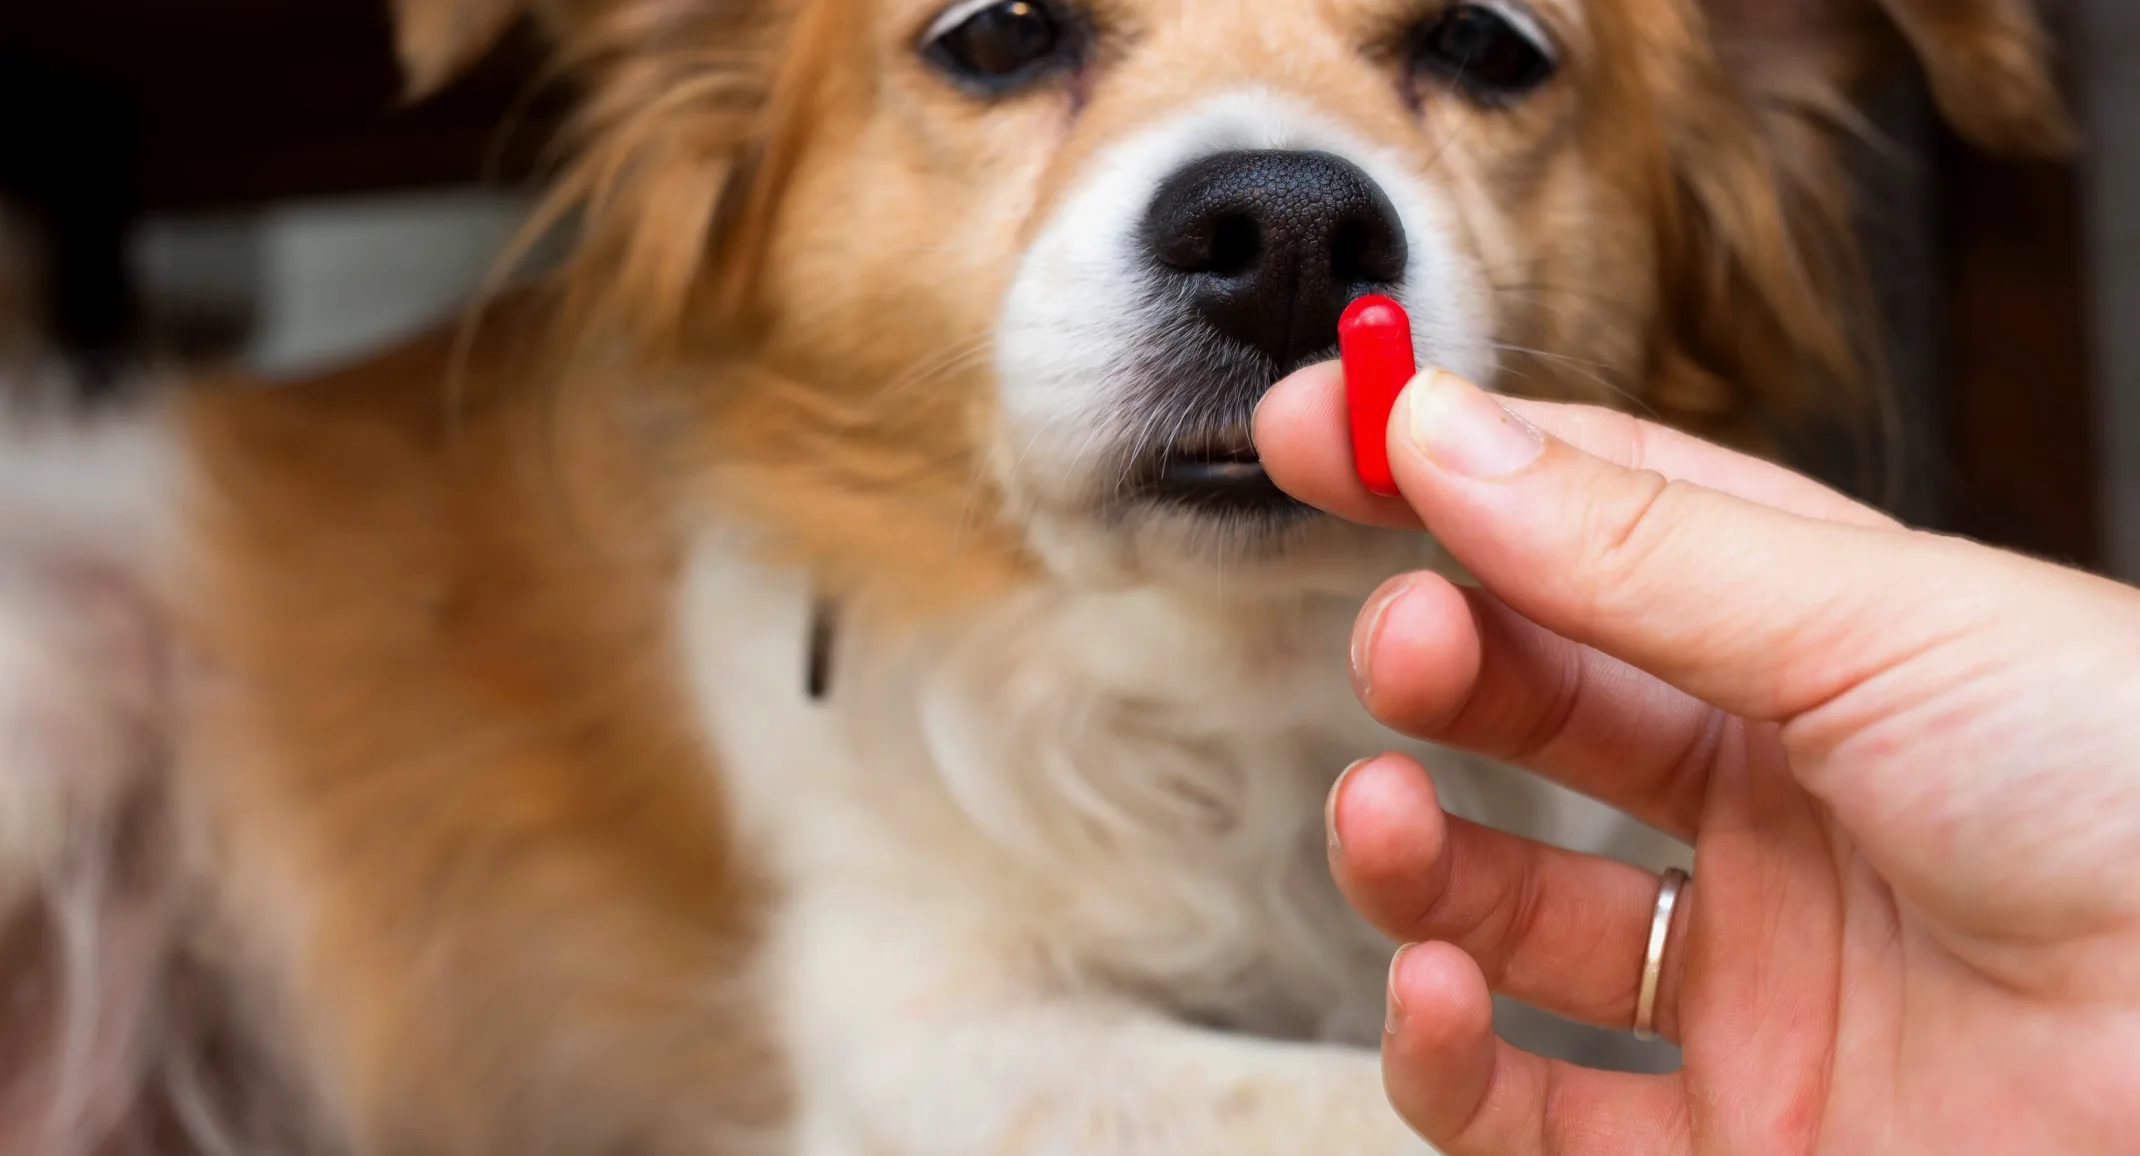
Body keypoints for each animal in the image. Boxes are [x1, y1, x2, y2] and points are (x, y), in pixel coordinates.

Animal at [0, 0, 2071, 1147]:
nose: (1285, 230)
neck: (1233, 679)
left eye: (1490, 44)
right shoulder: (919, 1037)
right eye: (997, 33)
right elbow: (1326, 1112)